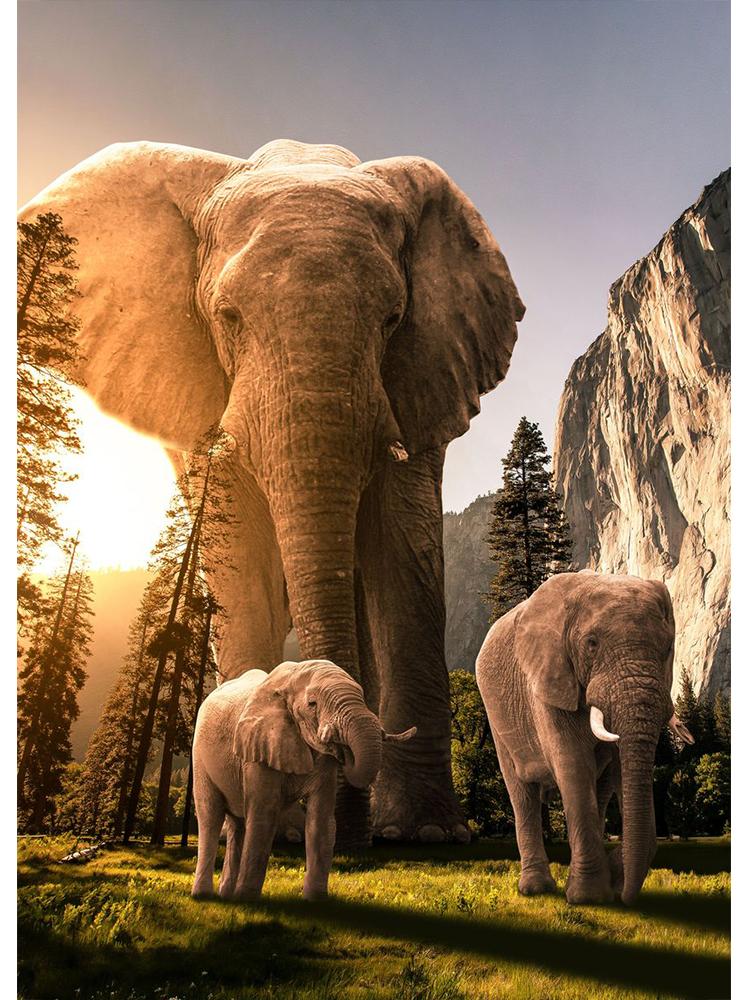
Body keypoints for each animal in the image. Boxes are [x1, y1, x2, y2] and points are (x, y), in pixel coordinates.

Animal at [20, 138, 524, 847]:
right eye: (227, 317)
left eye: (394, 317)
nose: (346, 837)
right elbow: (241, 562)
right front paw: (271, 829)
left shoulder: (422, 376)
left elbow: (405, 555)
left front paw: (424, 836)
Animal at [191, 659, 415, 900]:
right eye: (312, 704)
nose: (343, 749)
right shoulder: (258, 747)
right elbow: (263, 815)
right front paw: (247, 899)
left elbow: (321, 821)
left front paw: (315, 900)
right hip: (199, 756)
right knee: (210, 817)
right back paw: (204, 896)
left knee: (237, 823)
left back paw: (225, 896)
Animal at [475, 571, 694, 905]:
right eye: (591, 644)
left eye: (667, 646)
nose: (626, 897)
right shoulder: (548, 679)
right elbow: (574, 767)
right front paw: (589, 897)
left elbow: (617, 770)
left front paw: (610, 881)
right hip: (497, 717)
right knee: (522, 794)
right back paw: (536, 889)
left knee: (599, 789)